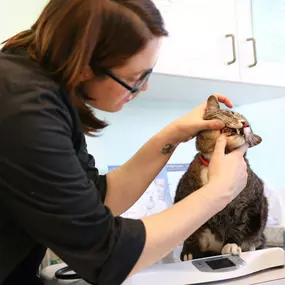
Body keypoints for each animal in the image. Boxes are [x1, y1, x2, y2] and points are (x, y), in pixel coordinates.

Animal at [174, 95, 268, 260]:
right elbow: (190, 233)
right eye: (231, 113)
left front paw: (231, 244)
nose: (245, 124)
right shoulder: (182, 195)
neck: (217, 161)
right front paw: (189, 250)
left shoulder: (251, 202)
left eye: (249, 125)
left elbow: (240, 224)